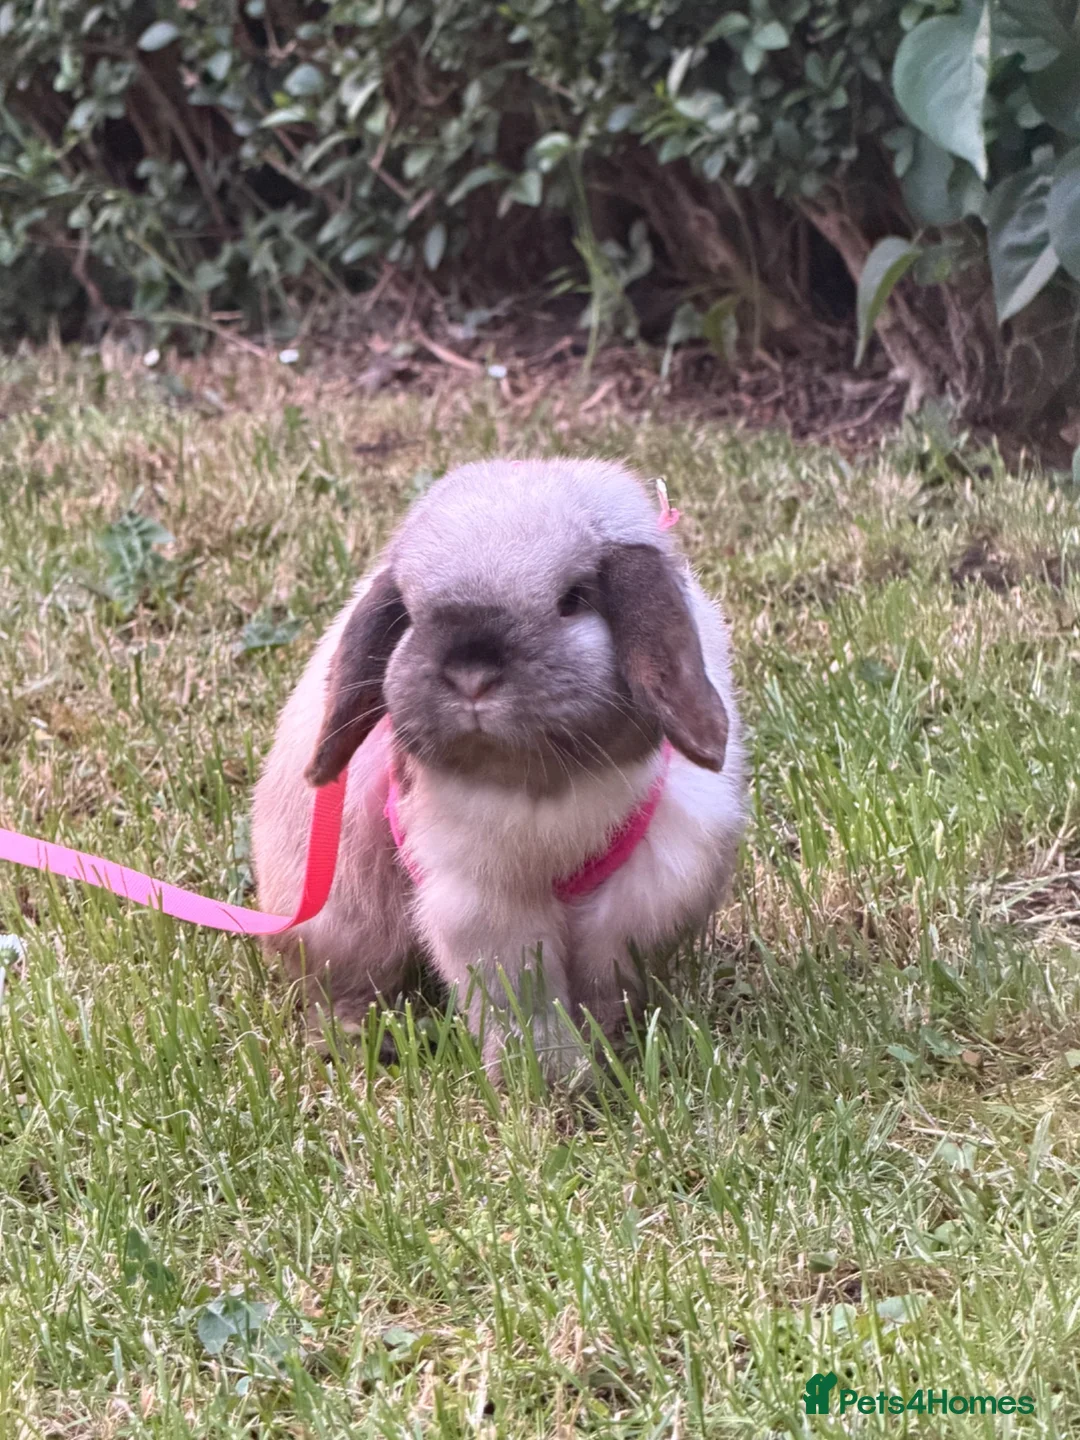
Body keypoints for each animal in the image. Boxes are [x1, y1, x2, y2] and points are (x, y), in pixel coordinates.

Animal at [251, 457, 747, 1079]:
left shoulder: (634, 904)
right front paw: (546, 1076)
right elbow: (523, 1001)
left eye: (573, 599)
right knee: (344, 988)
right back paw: (362, 1041)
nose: (471, 673)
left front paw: (598, 1055)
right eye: (410, 613)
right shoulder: (485, 905)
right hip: (344, 916)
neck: (542, 787)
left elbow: (601, 988)